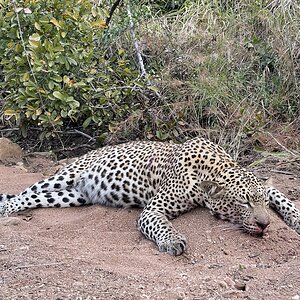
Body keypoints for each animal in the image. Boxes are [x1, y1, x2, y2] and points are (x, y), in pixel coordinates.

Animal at [0, 137, 300, 254]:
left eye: (261, 203)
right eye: (243, 203)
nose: (265, 225)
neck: (216, 166)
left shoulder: (268, 188)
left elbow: (283, 197)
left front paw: (295, 218)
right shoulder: (153, 209)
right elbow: (160, 224)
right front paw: (173, 241)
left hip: (72, 196)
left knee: (34, 198)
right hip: (65, 176)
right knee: (25, 193)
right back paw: (5, 210)